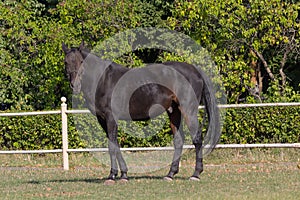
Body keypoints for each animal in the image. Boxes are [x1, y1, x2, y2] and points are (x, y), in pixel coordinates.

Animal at [62, 42, 220, 184]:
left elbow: (112, 146)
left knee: (197, 139)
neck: (103, 80)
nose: (75, 86)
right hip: (174, 111)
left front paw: (112, 176)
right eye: (66, 62)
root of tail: (195, 70)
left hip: (188, 110)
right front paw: (124, 175)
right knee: (179, 141)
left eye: (81, 61)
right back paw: (170, 174)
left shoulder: (111, 118)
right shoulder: (103, 119)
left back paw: (196, 174)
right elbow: (115, 144)